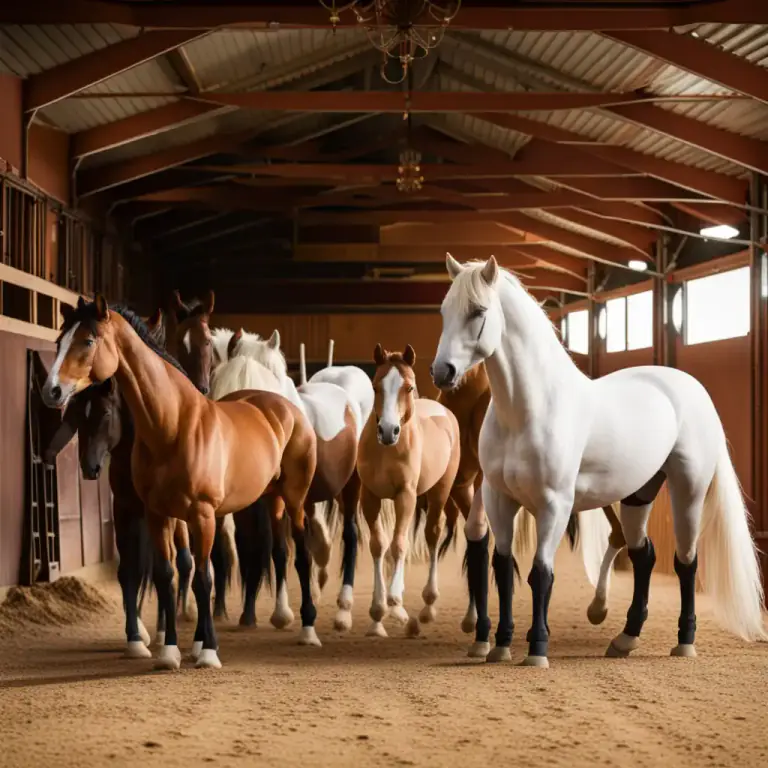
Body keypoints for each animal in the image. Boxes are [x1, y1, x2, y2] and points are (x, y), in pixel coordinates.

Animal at [41, 296, 317, 670]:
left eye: (87, 340)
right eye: (59, 341)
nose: (51, 391)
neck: (173, 425)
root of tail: (285, 408)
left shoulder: (202, 515)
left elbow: (202, 577)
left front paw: (208, 651)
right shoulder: (158, 514)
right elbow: (165, 575)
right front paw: (169, 650)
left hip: (295, 500)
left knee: (301, 555)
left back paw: (307, 630)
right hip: (271, 500)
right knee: (279, 550)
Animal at [211, 327, 368, 645]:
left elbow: (273, 549)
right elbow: (265, 550)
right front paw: (264, 614)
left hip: (350, 487)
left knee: (350, 536)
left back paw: (343, 611)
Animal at [356, 343, 460, 637]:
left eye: (409, 387)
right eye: (376, 386)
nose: (388, 431)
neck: (386, 451)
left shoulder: (405, 495)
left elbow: (399, 544)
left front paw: (393, 600)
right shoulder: (370, 497)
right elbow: (379, 545)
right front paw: (378, 610)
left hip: (438, 493)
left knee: (432, 534)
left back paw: (427, 605)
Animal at [432, 254, 767, 667]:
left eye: (478, 311)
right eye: (445, 310)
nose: (442, 372)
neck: (530, 411)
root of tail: (691, 387)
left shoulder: (554, 505)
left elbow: (541, 574)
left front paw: (537, 649)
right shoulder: (498, 499)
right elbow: (503, 569)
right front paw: (499, 646)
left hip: (688, 490)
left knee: (686, 561)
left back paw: (684, 642)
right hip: (638, 495)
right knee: (643, 555)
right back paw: (625, 638)